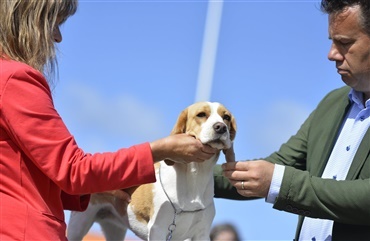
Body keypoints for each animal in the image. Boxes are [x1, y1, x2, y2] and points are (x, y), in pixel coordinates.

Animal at [67, 102, 237, 241]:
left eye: (226, 117)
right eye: (201, 114)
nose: (221, 127)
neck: (195, 176)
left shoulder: (201, 234)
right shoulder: (158, 230)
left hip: (115, 229)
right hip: (79, 224)